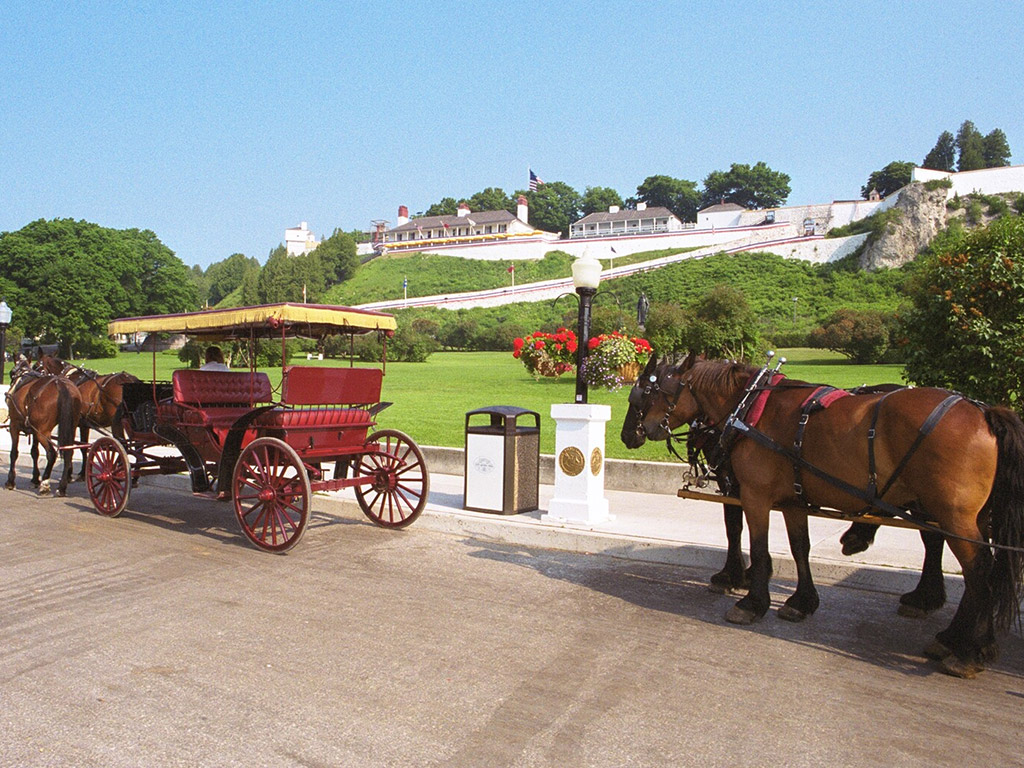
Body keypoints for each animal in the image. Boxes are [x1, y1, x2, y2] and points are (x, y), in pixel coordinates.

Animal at [4, 360, 83, 499]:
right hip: (70, 427)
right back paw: (61, 487)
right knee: (68, 452)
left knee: (52, 454)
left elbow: (14, 453)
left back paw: (45, 484)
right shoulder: (34, 429)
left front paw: (10, 481)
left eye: (11, 373)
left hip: (43, 432)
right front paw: (35, 478)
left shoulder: (14, 425)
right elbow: (34, 452)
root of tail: (60, 384)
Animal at [622, 354, 1024, 679]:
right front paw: (802, 602)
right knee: (978, 570)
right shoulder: (793, 501)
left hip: (953, 515)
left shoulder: (754, 495)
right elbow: (800, 547)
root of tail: (984, 412)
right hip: (970, 516)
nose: (630, 434)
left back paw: (967, 649)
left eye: (648, 393)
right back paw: (959, 637)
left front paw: (752, 600)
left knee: (978, 573)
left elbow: (758, 546)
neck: (750, 409)